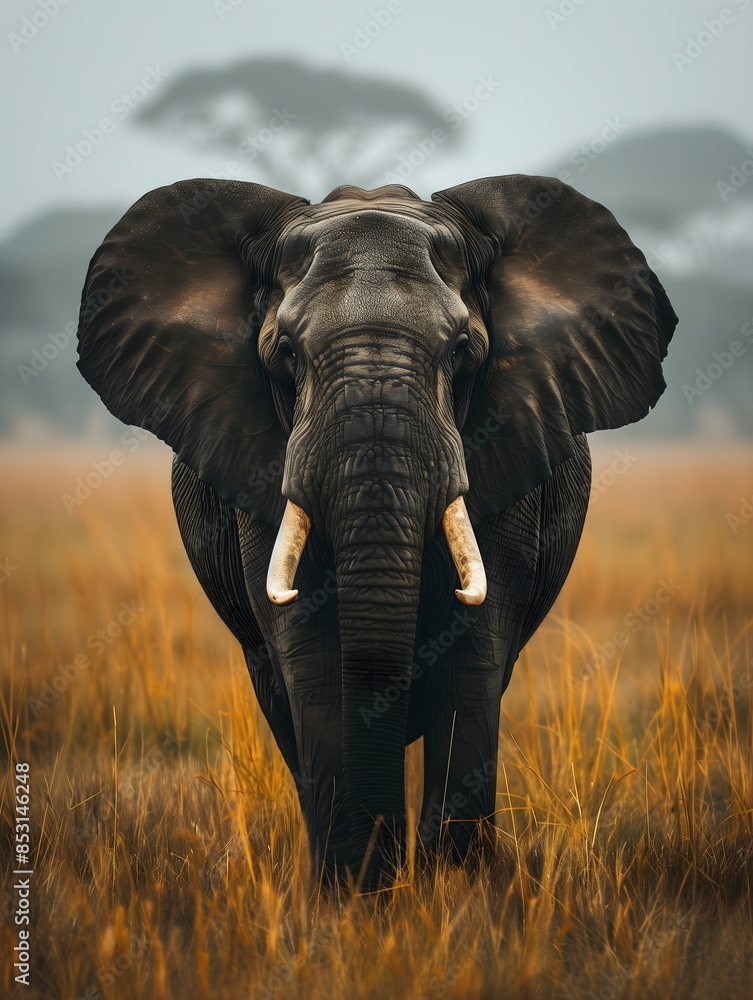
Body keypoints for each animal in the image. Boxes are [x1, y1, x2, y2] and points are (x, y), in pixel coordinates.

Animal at [76, 174, 677, 887]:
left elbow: (475, 650)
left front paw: (457, 892)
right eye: (286, 353)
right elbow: (309, 654)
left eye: (462, 351)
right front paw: (357, 894)